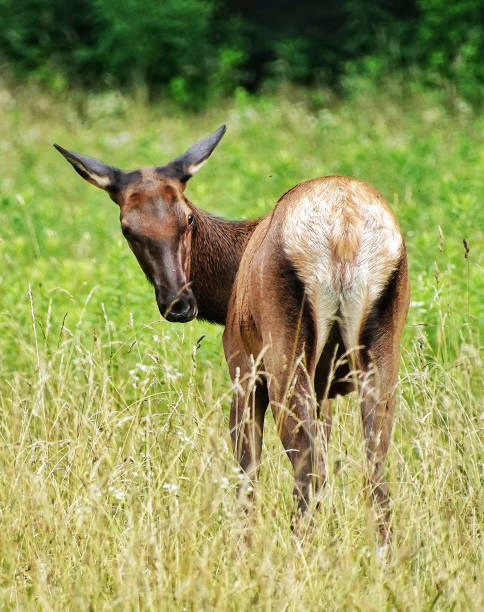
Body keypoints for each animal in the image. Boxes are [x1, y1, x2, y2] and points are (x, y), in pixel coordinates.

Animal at [55, 125, 408, 540]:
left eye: (188, 218)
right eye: (128, 228)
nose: (178, 303)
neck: (224, 296)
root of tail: (344, 235)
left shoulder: (242, 364)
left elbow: (245, 469)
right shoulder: (325, 387)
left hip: (284, 350)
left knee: (309, 469)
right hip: (378, 350)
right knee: (376, 469)